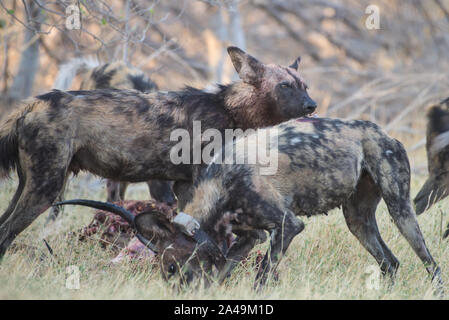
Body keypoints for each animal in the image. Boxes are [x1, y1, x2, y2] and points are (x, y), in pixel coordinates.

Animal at [60, 117, 444, 290]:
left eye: (170, 268)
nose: (177, 292)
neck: (221, 186)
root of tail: (380, 131)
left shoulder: (286, 226)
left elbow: (262, 278)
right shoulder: (248, 237)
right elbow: (223, 273)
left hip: (401, 211)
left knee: (431, 264)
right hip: (357, 221)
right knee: (390, 264)